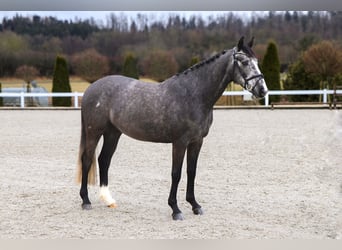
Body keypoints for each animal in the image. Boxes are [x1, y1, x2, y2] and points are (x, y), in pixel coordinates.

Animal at [77, 36, 268, 220]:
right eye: (244, 62)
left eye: (257, 61)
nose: (263, 90)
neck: (193, 95)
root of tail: (91, 89)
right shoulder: (180, 142)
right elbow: (176, 173)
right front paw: (175, 209)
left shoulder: (197, 141)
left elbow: (191, 171)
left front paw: (195, 205)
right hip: (94, 132)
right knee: (87, 160)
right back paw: (86, 201)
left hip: (113, 133)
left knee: (104, 160)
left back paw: (108, 199)